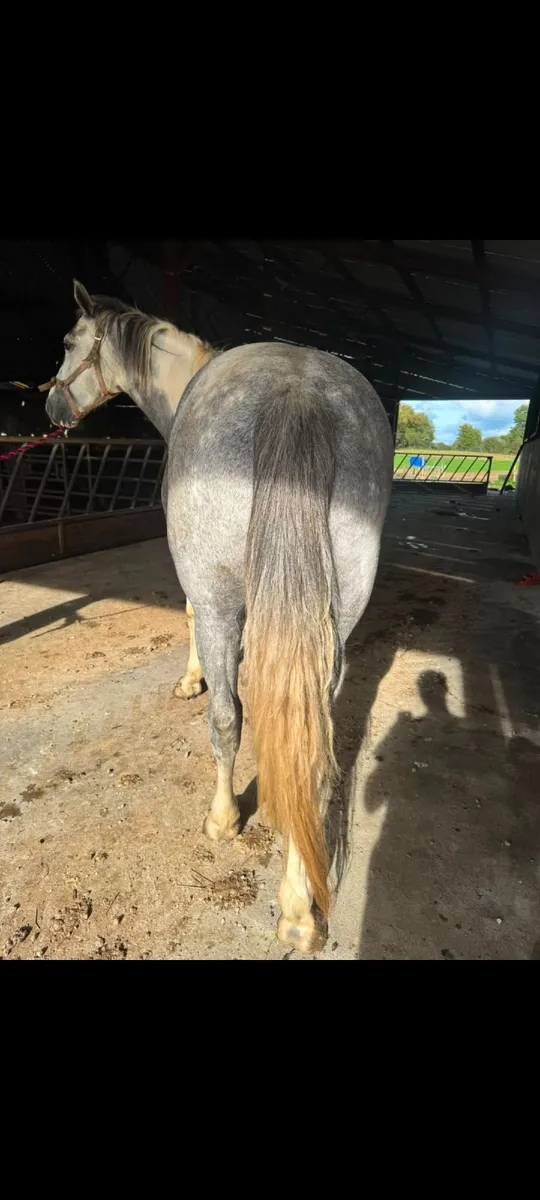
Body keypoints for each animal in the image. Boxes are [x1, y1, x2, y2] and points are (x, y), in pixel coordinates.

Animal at [45, 279, 393, 954]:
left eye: (70, 340)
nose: (50, 408)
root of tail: (296, 391)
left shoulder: (200, 587)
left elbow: (191, 629)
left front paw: (191, 679)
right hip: (335, 621)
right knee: (310, 742)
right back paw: (298, 909)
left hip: (219, 593)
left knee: (229, 720)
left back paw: (224, 821)